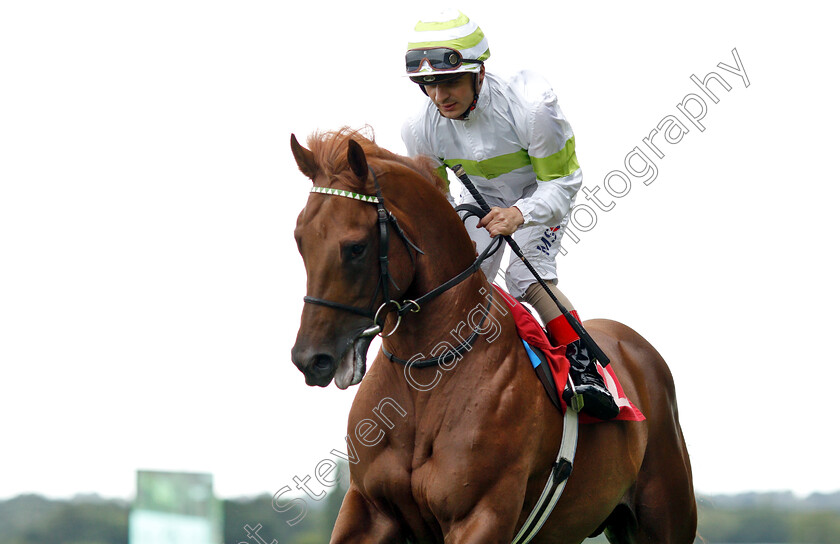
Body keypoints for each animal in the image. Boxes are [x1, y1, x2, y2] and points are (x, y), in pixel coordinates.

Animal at [288, 130, 696, 540]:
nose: (311, 359)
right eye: (300, 240)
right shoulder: (368, 510)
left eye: (355, 247)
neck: (425, 373)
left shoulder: (481, 514)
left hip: (664, 516)